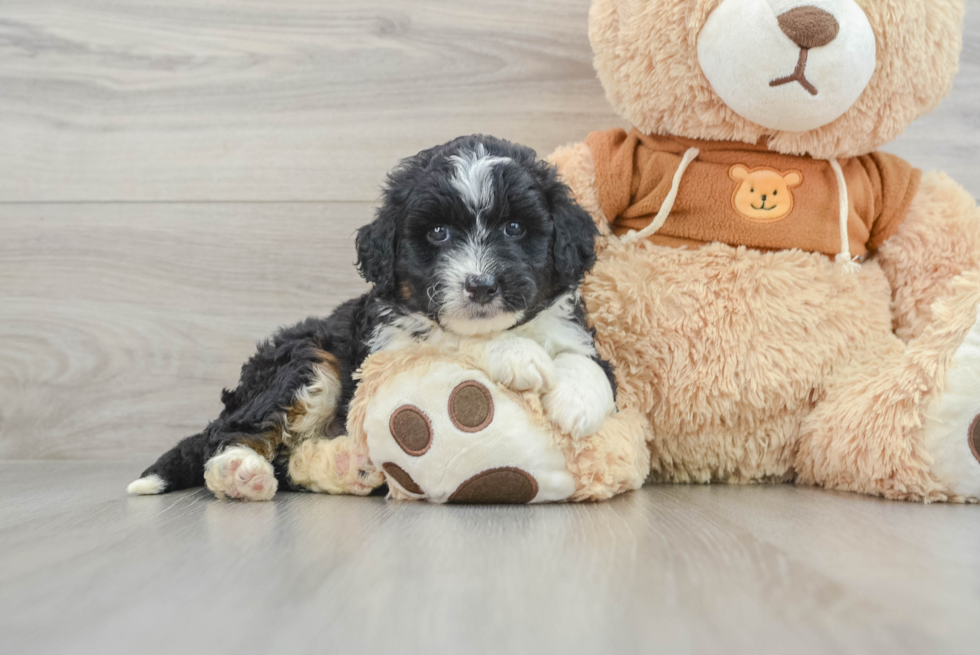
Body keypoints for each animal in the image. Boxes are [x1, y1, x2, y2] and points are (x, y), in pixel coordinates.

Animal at [126, 135, 616, 502]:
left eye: (515, 228)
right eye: (438, 233)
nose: (480, 286)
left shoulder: (572, 329)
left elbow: (587, 362)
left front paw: (577, 402)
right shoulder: (391, 344)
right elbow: (450, 338)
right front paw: (516, 354)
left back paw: (346, 466)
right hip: (307, 361)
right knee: (234, 430)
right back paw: (238, 471)